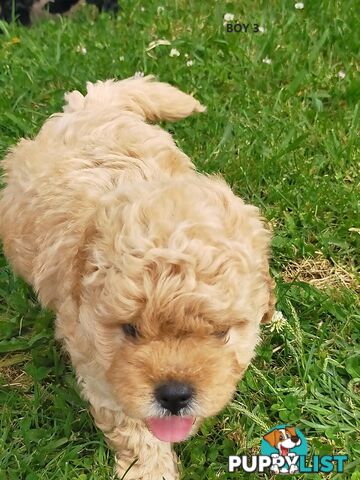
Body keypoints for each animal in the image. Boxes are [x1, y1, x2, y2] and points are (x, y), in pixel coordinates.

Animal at [0, 77, 274, 478]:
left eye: (221, 333)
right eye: (129, 330)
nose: (175, 395)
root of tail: (90, 106)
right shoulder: (101, 369)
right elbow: (135, 430)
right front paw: (151, 470)